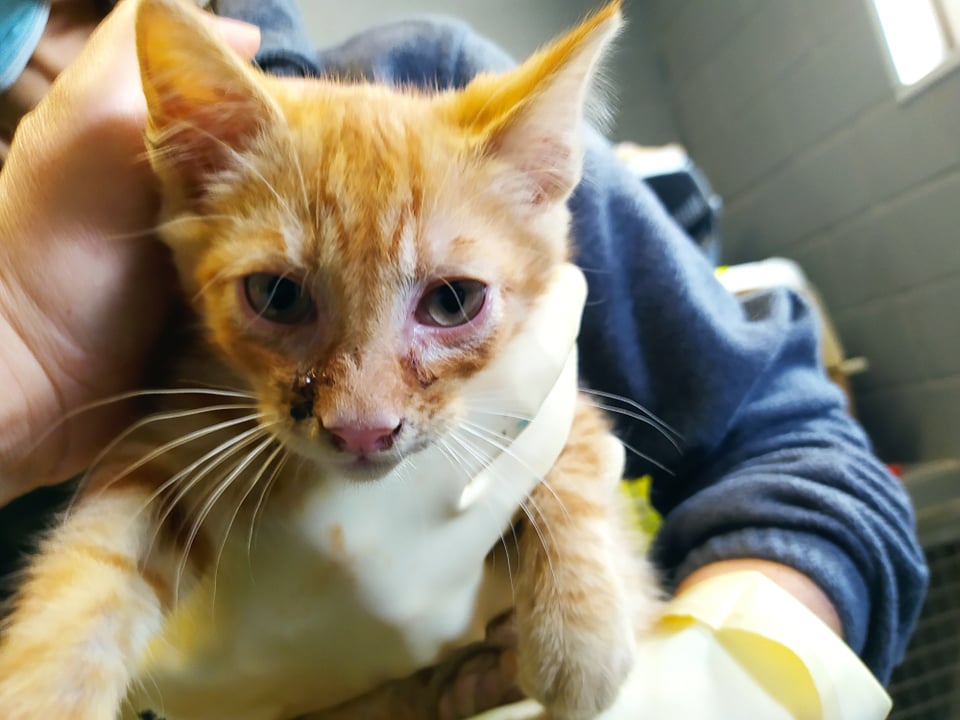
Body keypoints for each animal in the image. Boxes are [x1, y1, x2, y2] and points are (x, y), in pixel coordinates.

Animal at [0, 0, 661, 718]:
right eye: (277, 295)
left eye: (454, 301)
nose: (361, 429)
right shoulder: (169, 437)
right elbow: (94, 562)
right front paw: (46, 685)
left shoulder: (554, 384)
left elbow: (580, 453)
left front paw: (584, 630)